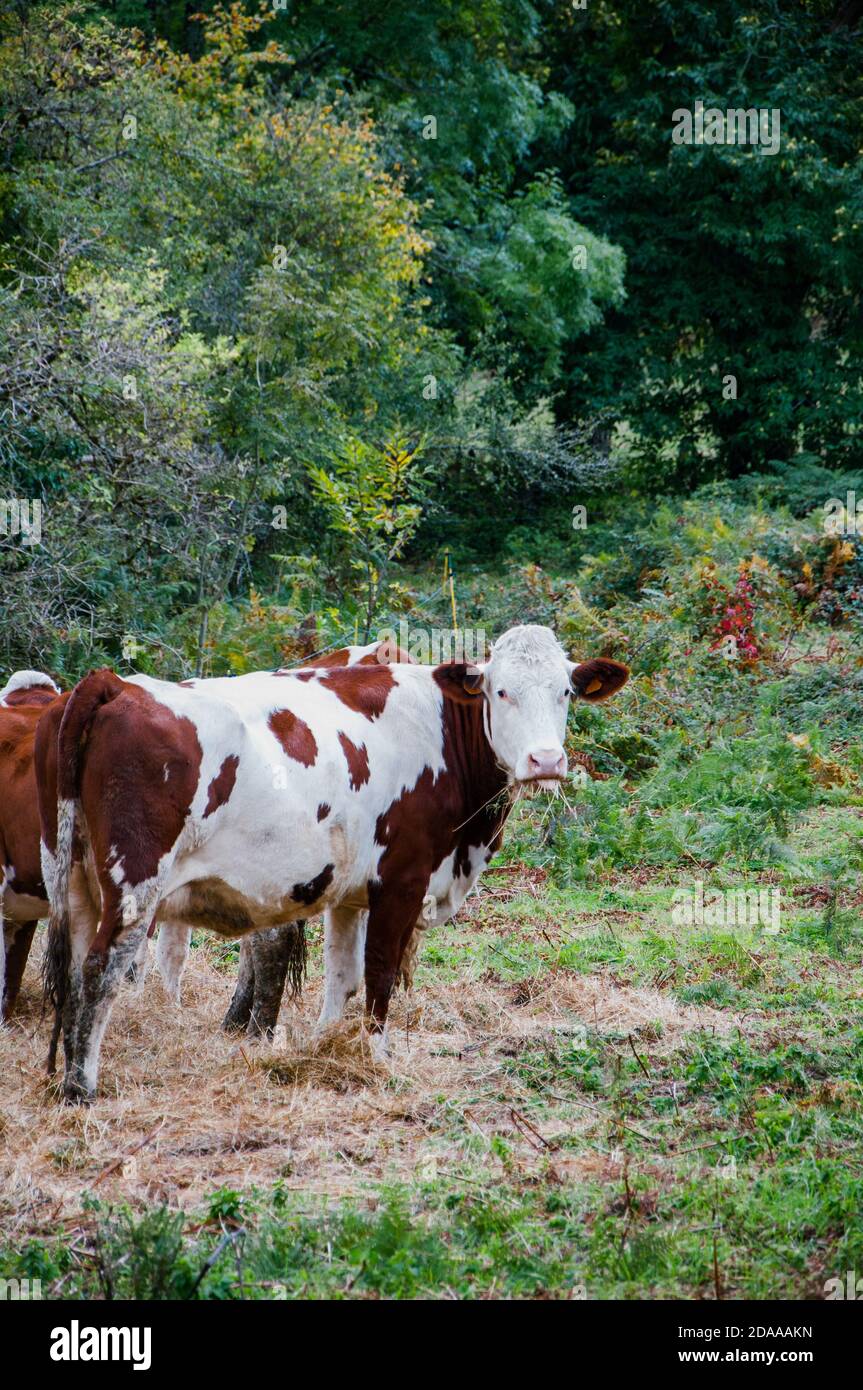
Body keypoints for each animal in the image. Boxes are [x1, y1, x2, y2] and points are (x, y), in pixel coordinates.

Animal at [37, 624, 628, 1101]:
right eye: (501, 691)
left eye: (565, 692)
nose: (545, 760)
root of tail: (115, 684)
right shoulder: (401, 881)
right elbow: (379, 973)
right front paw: (377, 1057)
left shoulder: (349, 893)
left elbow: (341, 976)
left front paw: (328, 1045)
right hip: (134, 885)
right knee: (101, 970)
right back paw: (82, 1088)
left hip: (74, 881)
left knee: (72, 968)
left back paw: (64, 1075)